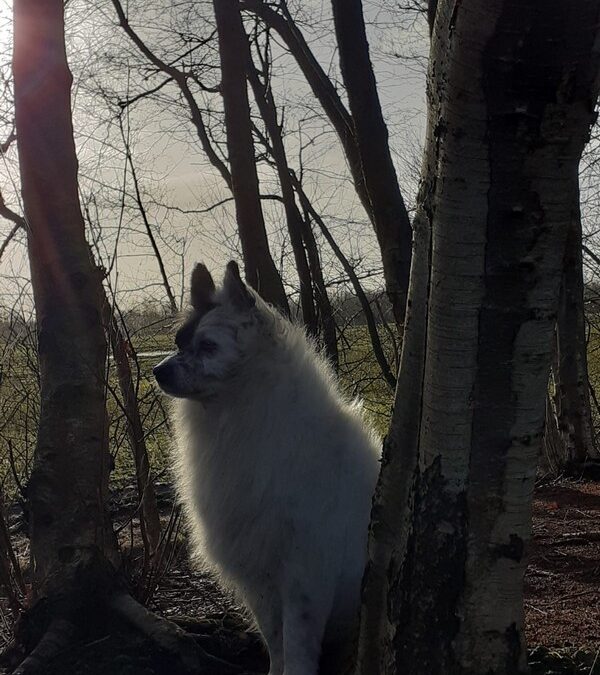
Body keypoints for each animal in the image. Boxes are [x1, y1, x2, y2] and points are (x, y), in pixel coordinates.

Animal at [154, 262, 380, 672]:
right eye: (180, 343)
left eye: (208, 346)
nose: (158, 371)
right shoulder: (259, 582)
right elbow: (275, 641)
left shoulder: (304, 578)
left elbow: (297, 646)